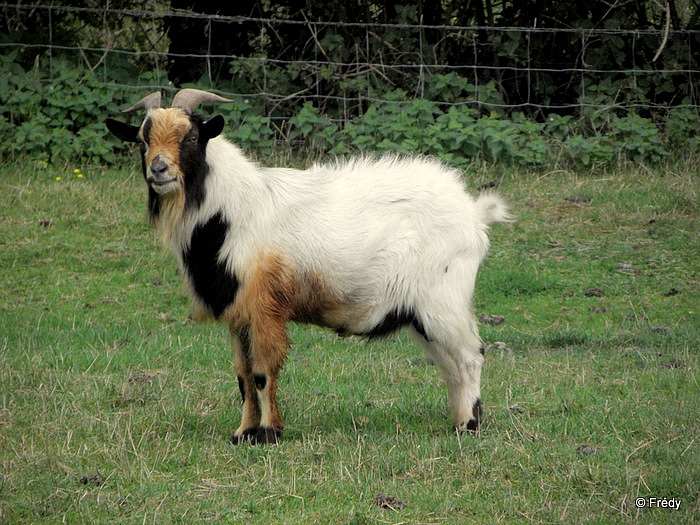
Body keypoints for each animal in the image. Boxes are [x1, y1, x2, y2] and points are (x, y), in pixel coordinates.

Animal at [105, 89, 508, 442]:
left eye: (190, 137)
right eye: (142, 140)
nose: (159, 170)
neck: (230, 209)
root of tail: (475, 214)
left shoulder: (264, 306)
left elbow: (262, 372)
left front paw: (269, 433)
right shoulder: (239, 313)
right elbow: (242, 375)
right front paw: (242, 433)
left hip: (443, 301)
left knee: (469, 357)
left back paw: (469, 426)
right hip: (422, 314)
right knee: (449, 365)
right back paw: (457, 422)